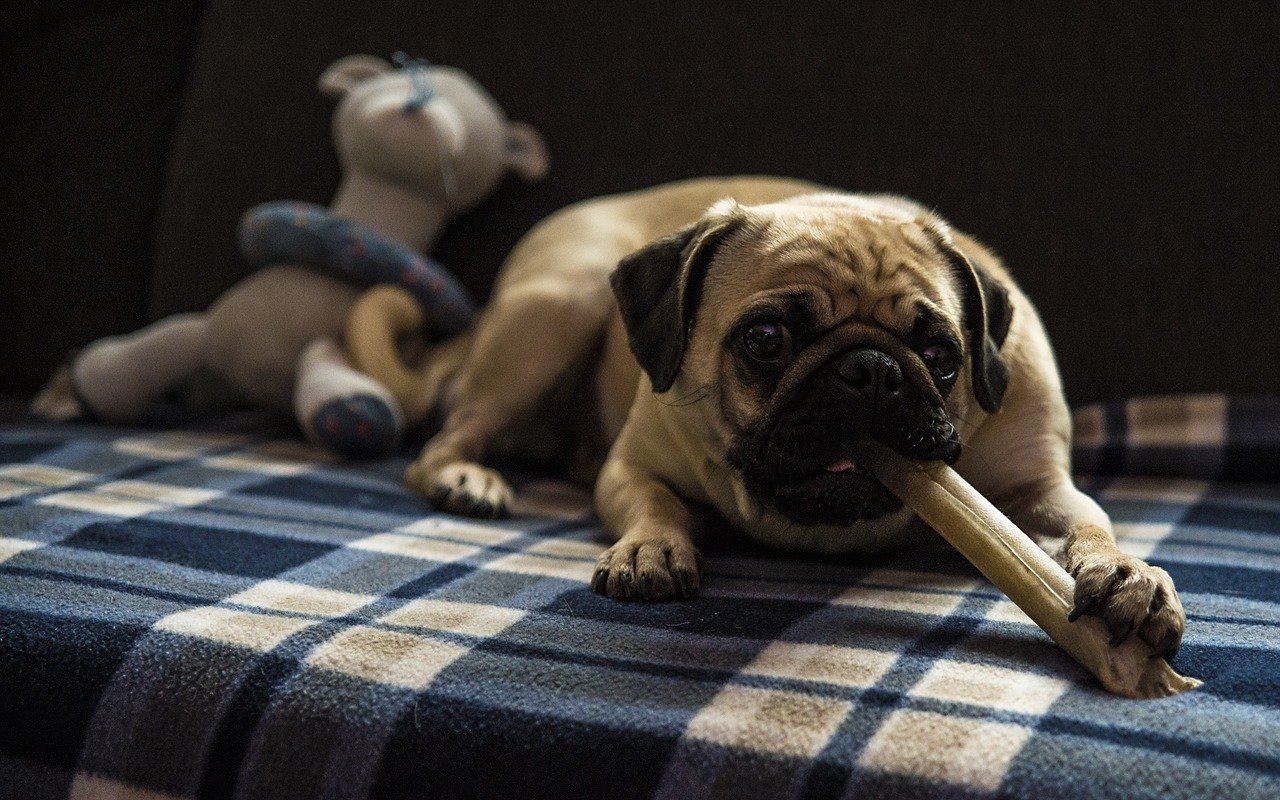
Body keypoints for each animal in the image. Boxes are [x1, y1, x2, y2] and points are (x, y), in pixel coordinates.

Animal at [353, 177, 1187, 660]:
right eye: (765, 339)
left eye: (941, 354)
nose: (871, 370)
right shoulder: (637, 466)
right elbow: (654, 504)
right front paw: (651, 548)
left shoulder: (1037, 492)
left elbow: (1088, 525)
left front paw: (1127, 574)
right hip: (556, 310)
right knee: (442, 439)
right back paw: (467, 477)